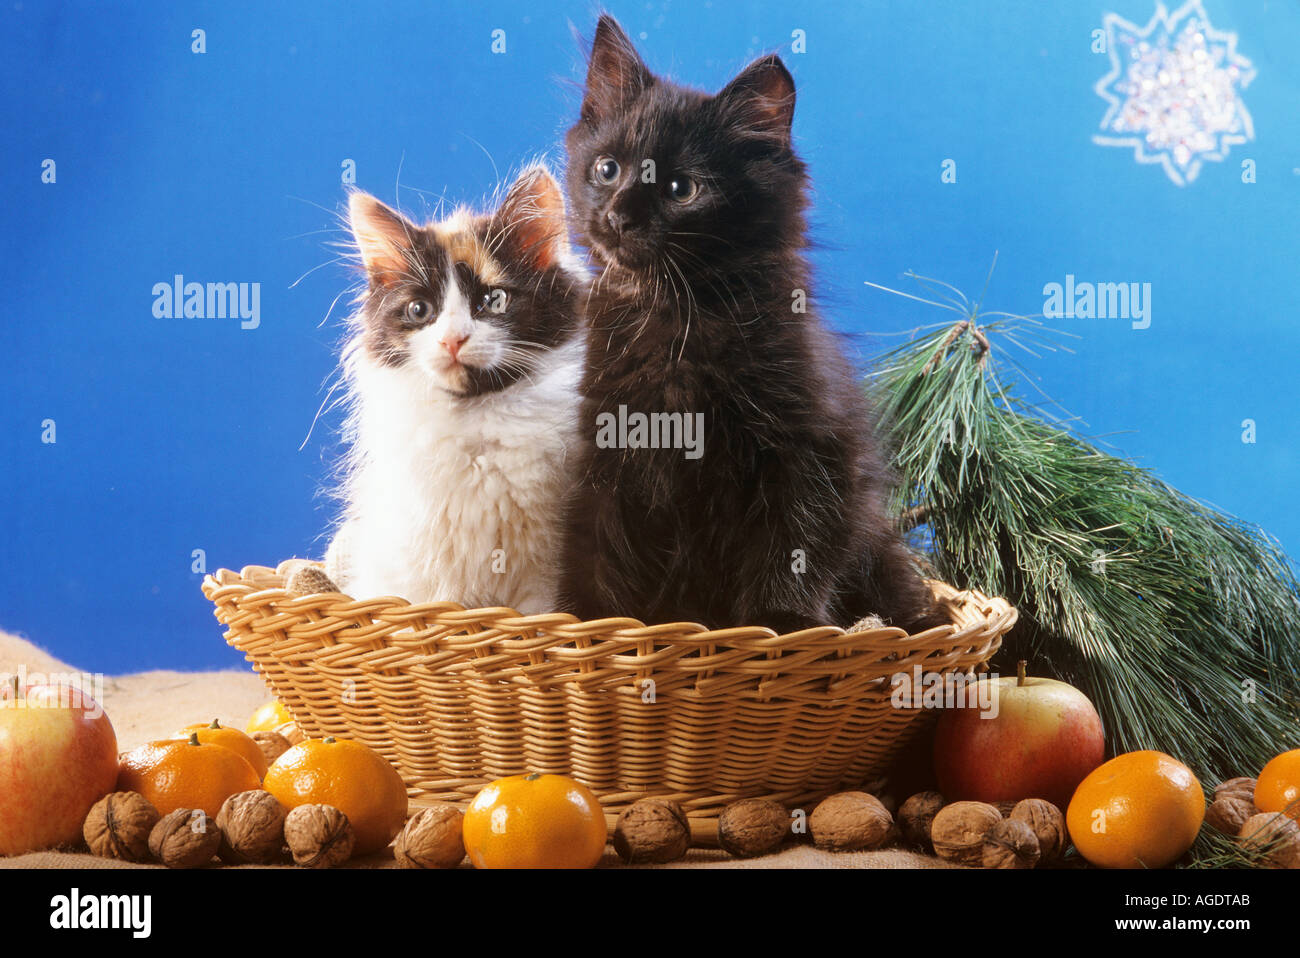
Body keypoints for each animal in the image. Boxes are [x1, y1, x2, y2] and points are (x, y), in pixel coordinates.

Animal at [327, 166, 587, 613]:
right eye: (420, 311)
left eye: (494, 299)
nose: (452, 339)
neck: (476, 421)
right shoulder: (419, 565)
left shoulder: (546, 570)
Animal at [559, 14, 946, 634]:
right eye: (606, 169)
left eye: (681, 189)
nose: (616, 217)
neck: (679, 317)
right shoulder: (609, 446)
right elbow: (597, 545)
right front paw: (587, 621)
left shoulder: (813, 446)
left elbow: (796, 541)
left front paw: (783, 621)